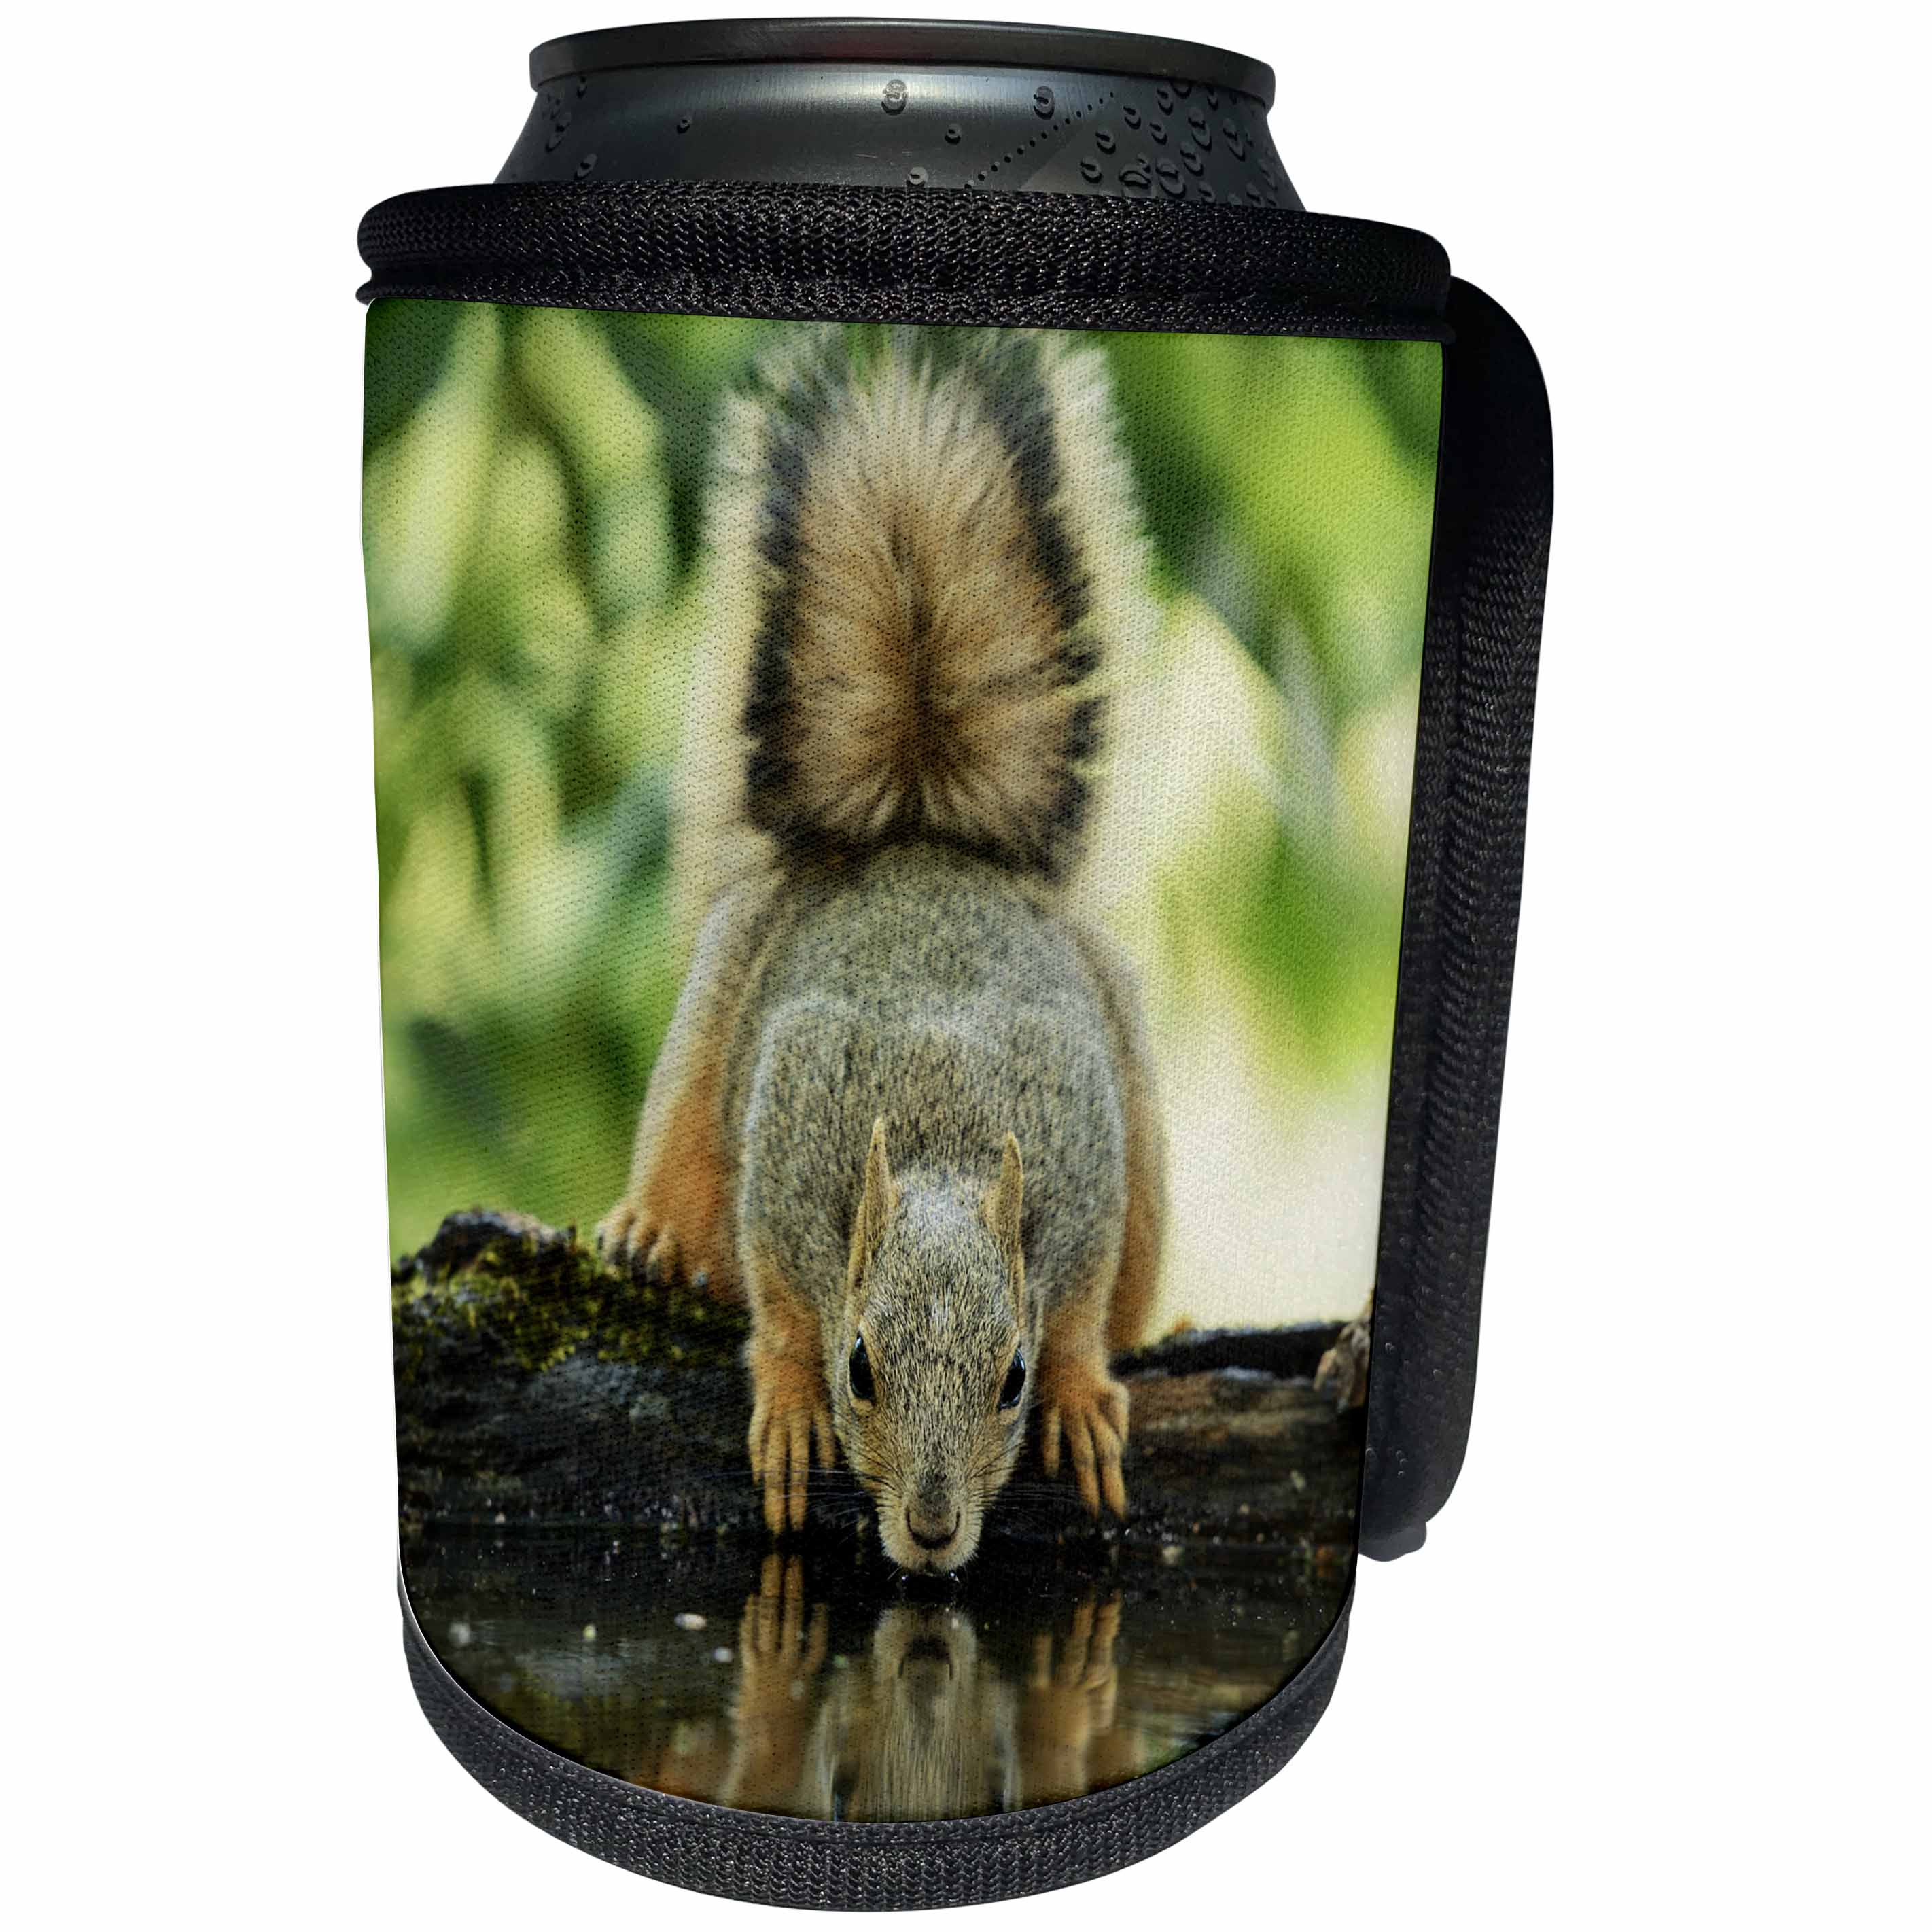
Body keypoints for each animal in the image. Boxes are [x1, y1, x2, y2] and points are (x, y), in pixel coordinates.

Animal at [599, 325, 1167, 1573]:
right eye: (859, 1365)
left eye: (1008, 1377)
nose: (931, 1529)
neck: (941, 1133)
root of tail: (914, 834)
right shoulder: (791, 1122)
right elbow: (777, 1295)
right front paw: (787, 1400)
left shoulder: (1085, 1151)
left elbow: (1080, 1297)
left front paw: (1078, 1393)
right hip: (717, 1004)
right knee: (681, 1145)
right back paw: (649, 1228)